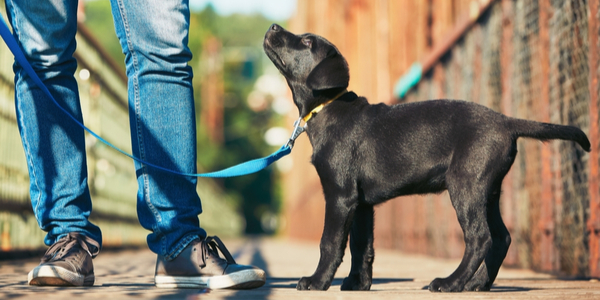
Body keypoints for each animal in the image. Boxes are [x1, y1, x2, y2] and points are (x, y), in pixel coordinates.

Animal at [264, 24, 592, 292]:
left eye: (307, 41)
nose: (273, 26)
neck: (327, 107)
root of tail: (506, 121)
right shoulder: (361, 203)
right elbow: (362, 246)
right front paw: (358, 283)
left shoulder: (340, 195)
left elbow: (330, 243)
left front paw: (317, 281)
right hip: (488, 190)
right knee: (501, 238)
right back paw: (477, 284)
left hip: (465, 185)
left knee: (480, 237)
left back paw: (450, 283)